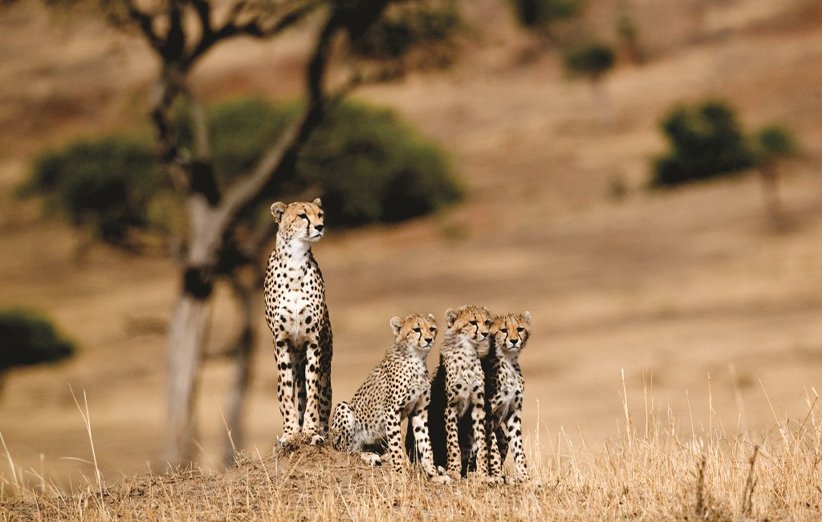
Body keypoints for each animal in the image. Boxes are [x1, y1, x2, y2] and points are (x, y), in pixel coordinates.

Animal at [262, 197, 330, 444]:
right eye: (302, 215)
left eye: (320, 214)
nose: (320, 227)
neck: (295, 262)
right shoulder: (281, 342)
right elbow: (286, 392)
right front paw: (291, 433)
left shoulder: (313, 342)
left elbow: (312, 394)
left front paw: (310, 431)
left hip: (325, 371)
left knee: (320, 398)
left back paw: (322, 433)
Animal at [330, 310, 450, 482]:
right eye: (416, 329)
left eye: (432, 329)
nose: (429, 339)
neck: (417, 358)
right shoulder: (392, 411)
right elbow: (396, 444)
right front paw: (400, 473)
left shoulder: (419, 411)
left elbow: (425, 444)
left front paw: (433, 474)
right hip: (344, 409)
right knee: (348, 450)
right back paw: (369, 456)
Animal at [408, 304, 492, 480]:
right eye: (473, 322)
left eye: (487, 322)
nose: (486, 333)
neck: (468, 352)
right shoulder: (450, 407)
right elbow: (452, 441)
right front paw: (453, 470)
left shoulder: (478, 406)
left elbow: (481, 441)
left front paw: (483, 472)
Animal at [482, 310, 536, 482]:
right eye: (503, 330)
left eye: (519, 329)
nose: (513, 341)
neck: (508, 360)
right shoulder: (487, 414)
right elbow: (492, 448)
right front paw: (495, 476)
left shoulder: (514, 412)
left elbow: (518, 447)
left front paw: (524, 477)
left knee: (505, 443)